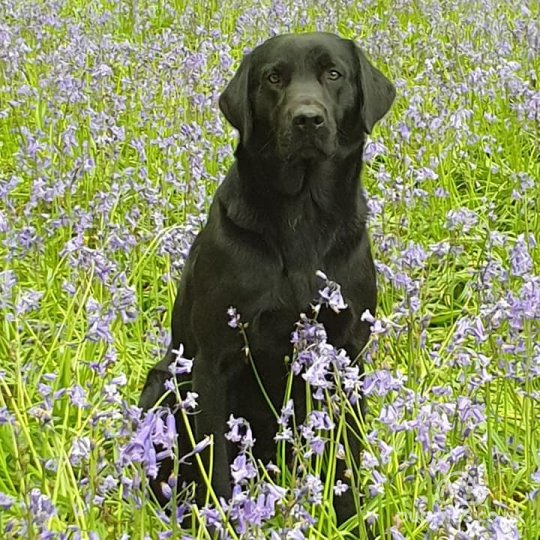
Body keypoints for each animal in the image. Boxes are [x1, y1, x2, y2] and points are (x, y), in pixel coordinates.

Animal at [139, 31, 392, 524]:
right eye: (274, 78)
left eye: (334, 74)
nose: (307, 119)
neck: (302, 217)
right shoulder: (214, 362)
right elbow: (217, 467)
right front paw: (223, 522)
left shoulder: (348, 353)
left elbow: (348, 458)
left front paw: (349, 521)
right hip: (163, 382)